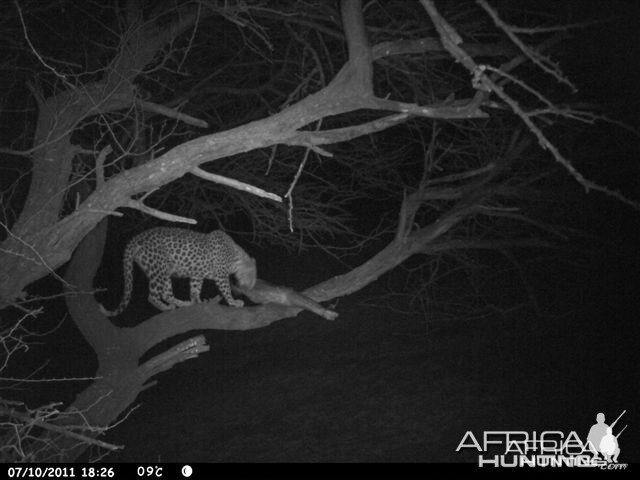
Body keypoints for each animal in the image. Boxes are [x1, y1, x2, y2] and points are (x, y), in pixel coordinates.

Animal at [100, 228, 255, 316]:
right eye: (253, 277)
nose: (251, 287)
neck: (236, 258)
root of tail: (137, 237)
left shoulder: (197, 274)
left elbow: (195, 289)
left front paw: (197, 301)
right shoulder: (221, 275)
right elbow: (226, 290)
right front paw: (234, 302)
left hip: (165, 272)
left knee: (166, 293)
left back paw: (182, 304)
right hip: (157, 268)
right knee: (152, 296)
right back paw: (166, 308)